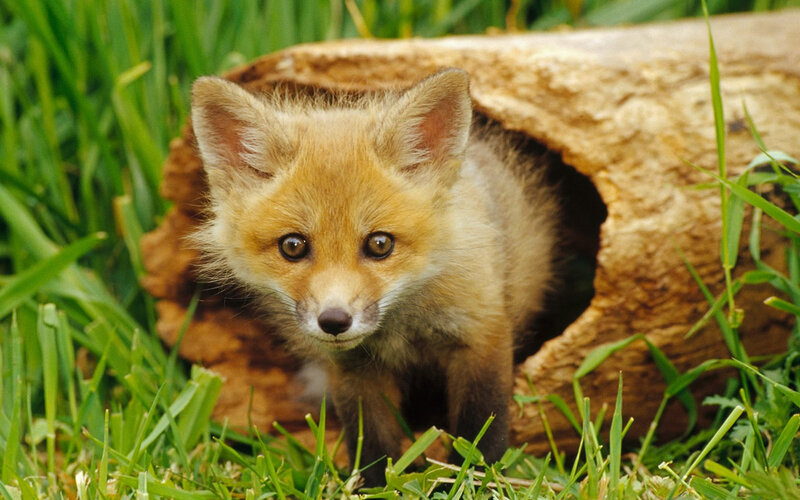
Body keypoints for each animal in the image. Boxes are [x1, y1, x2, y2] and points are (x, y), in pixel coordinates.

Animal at [189, 68, 557, 486]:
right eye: (293, 246)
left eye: (380, 244)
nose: (334, 321)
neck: (402, 328)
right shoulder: (354, 369)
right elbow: (372, 443)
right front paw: (375, 485)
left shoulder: (481, 334)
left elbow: (481, 429)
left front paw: (476, 479)